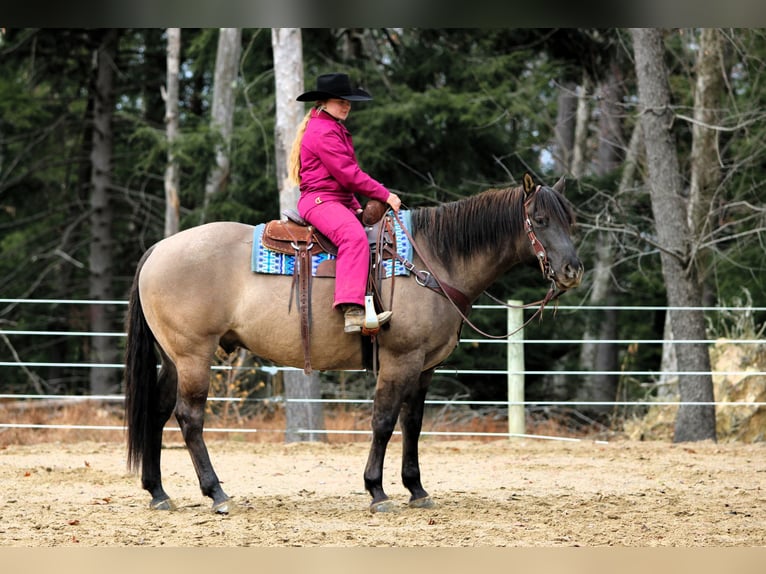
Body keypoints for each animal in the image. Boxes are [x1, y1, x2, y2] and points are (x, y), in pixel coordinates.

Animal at [124, 173, 583, 514]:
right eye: (540, 219)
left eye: (571, 220)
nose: (572, 270)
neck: (431, 260)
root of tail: (158, 249)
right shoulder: (400, 360)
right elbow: (383, 421)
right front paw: (377, 491)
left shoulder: (424, 367)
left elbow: (412, 424)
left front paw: (417, 490)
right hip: (194, 355)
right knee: (189, 418)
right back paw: (216, 493)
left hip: (174, 358)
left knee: (158, 412)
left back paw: (158, 493)